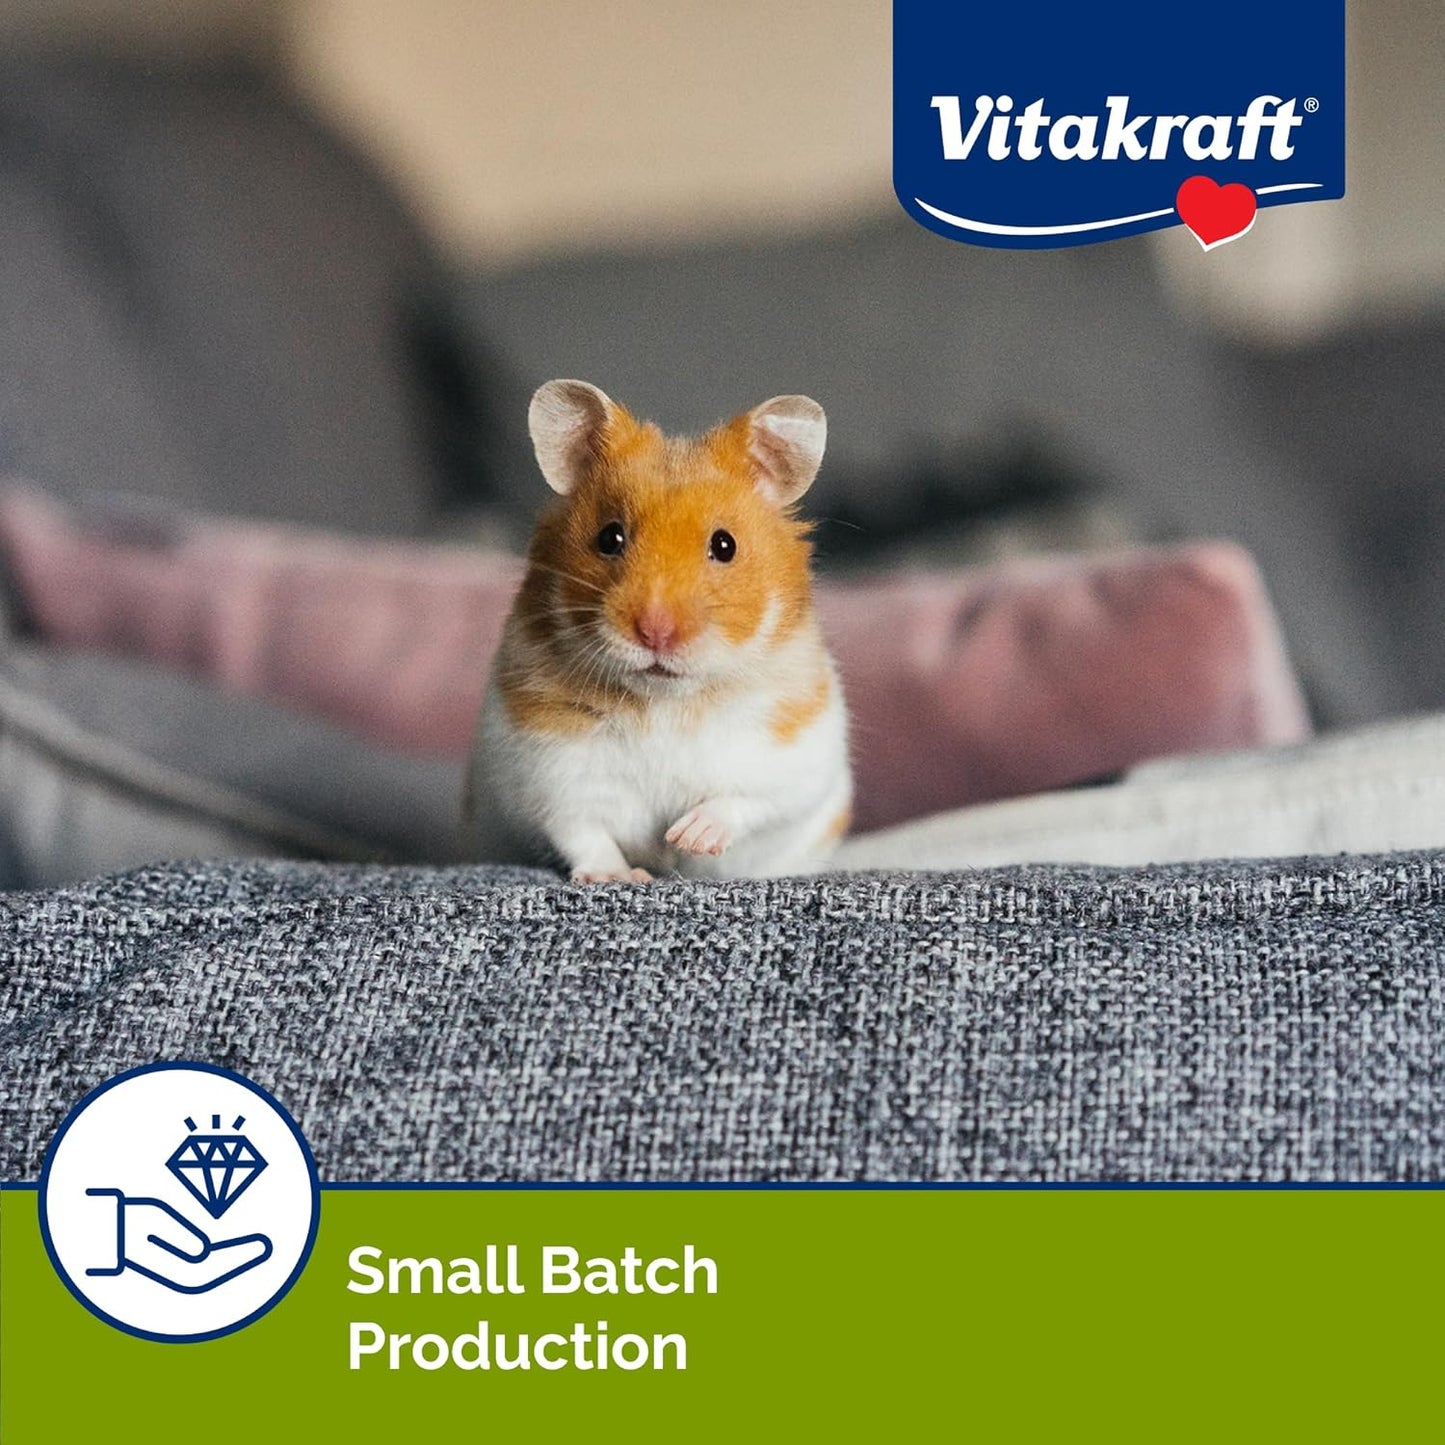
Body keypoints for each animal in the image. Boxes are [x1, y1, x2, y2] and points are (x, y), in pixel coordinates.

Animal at [468, 379, 852, 883]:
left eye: (724, 545)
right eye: (609, 537)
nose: (655, 632)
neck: (664, 701)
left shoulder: (794, 761)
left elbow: (744, 801)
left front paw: (686, 837)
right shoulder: (548, 774)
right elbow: (582, 831)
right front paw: (619, 876)